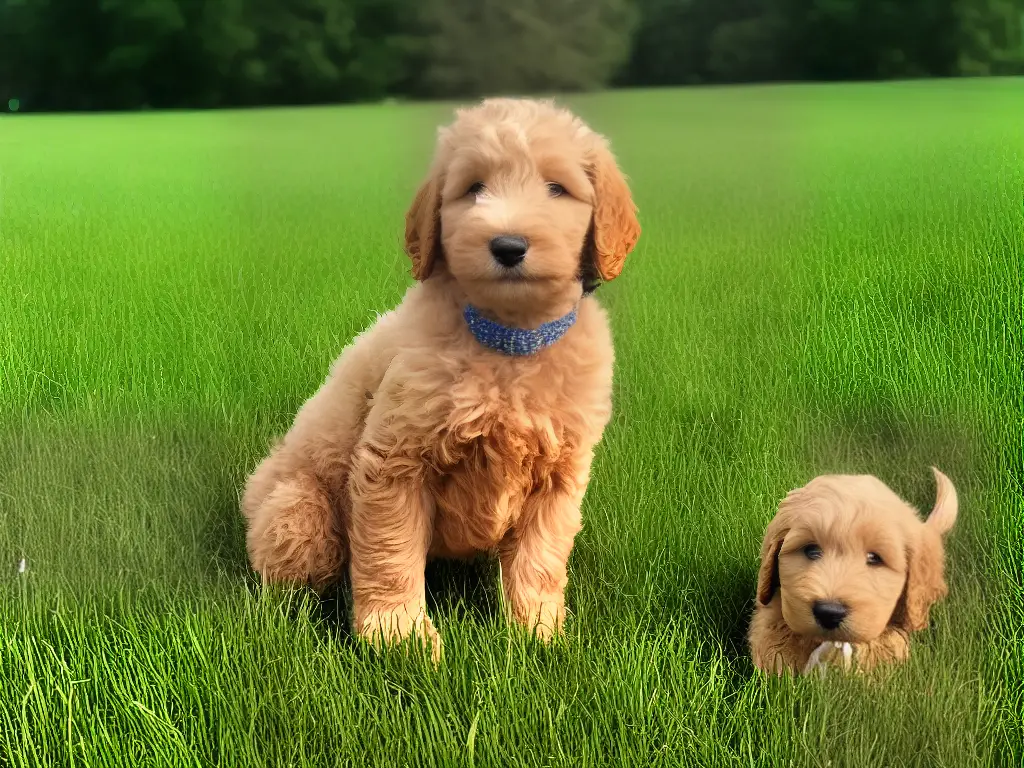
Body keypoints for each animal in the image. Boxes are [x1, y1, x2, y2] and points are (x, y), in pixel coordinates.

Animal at [240, 97, 638, 663]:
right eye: (473, 188)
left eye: (557, 189)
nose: (508, 245)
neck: (507, 340)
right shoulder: (395, 463)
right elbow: (389, 553)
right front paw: (398, 636)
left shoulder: (560, 474)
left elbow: (539, 559)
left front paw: (538, 635)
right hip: (300, 513)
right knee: (292, 582)